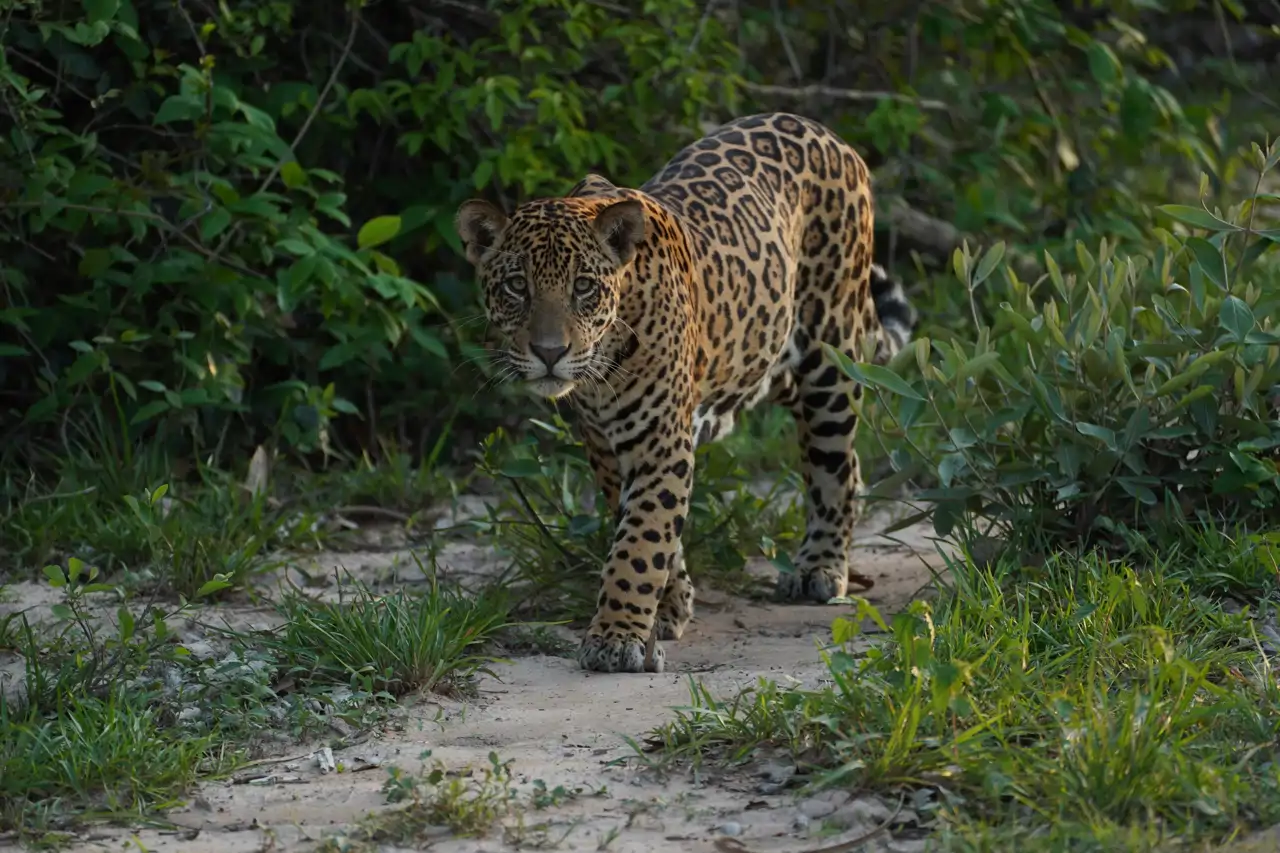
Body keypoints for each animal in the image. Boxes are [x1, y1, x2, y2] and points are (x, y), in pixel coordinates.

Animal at [456, 112, 918, 674]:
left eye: (584, 287)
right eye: (516, 287)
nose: (549, 352)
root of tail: (825, 132)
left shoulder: (659, 440)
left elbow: (640, 540)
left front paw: (615, 637)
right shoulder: (607, 448)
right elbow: (649, 533)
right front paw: (667, 607)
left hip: (829, 358)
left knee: (835, 467)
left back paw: (820, 568)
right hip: (768, 359)